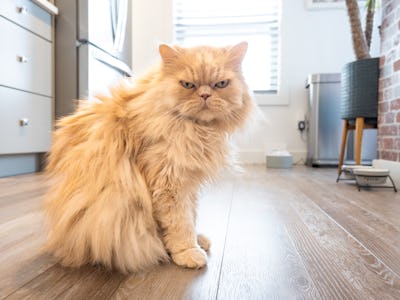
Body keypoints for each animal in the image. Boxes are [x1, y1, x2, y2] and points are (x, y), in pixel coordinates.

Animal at [43, 42, 255, 274]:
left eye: (221, 84)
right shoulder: (169, 184)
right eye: (188, 85)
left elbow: (192, 215)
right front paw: (187, 251)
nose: (205, 95)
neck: (197, 131)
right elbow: (181, 223)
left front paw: (195, 240)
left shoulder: (188, 183)